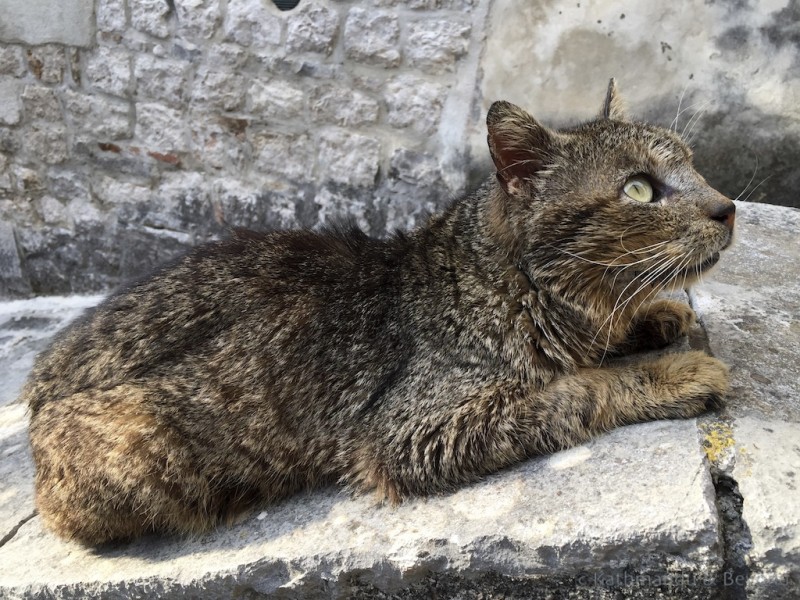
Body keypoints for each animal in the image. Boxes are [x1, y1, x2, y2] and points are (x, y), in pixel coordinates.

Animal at [25, 81, 736, 548]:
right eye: (638, 189)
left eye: (692, 161)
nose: (728, 206)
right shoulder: (416, 433)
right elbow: (579, 390)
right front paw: (673, 374)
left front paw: (652, 316)